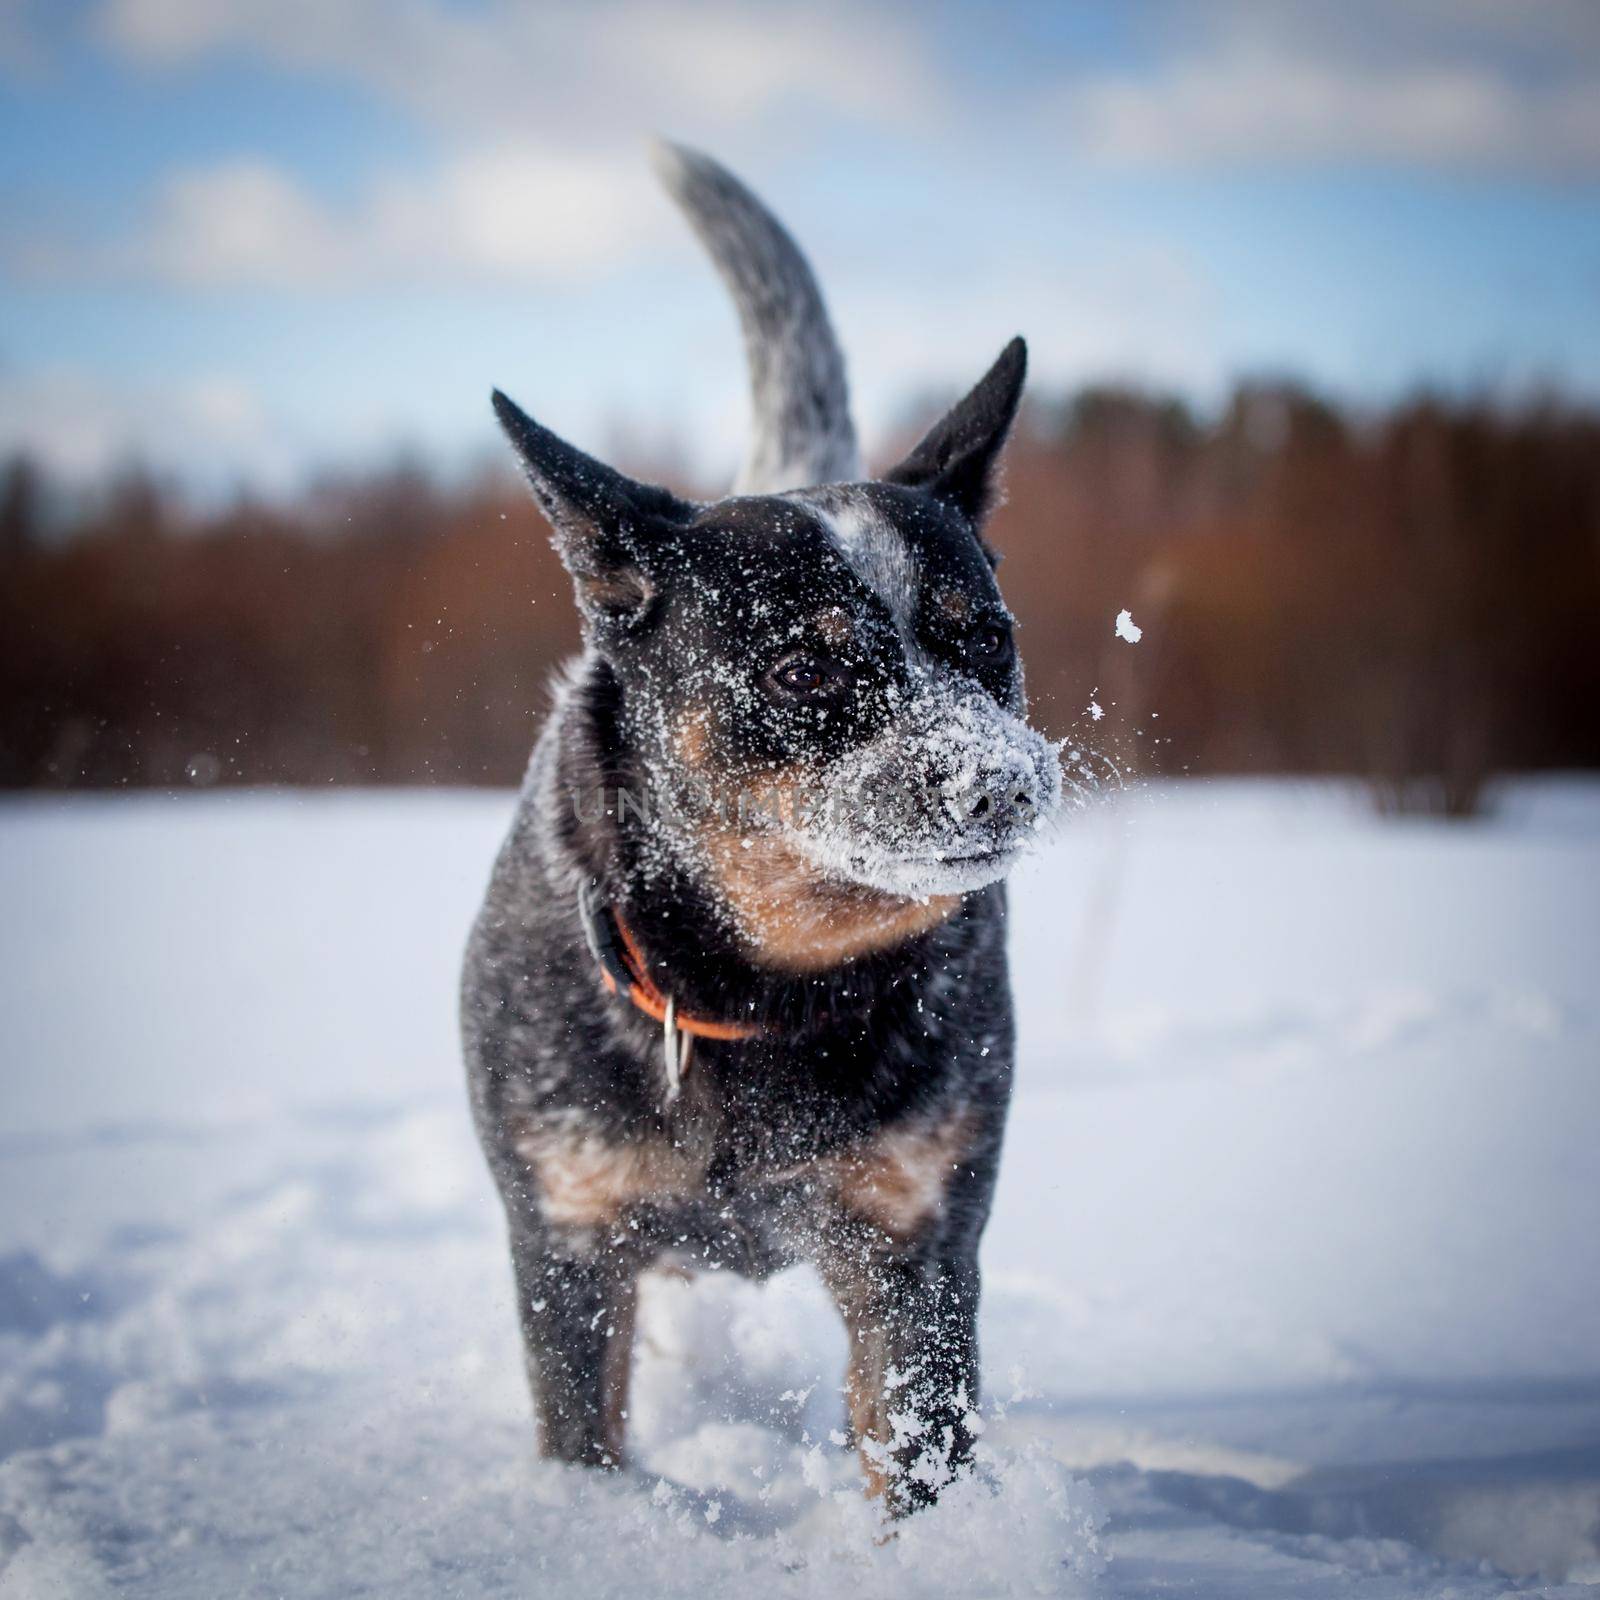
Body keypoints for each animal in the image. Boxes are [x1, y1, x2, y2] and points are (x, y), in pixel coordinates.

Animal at [464, 147, 1062, 1510]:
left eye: (985, 636)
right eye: (801, 668)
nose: (1006, 784)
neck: (764, 993)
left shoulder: (915, 1245)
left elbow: (915, 1455)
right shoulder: (567, 1241)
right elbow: (582, 1433)